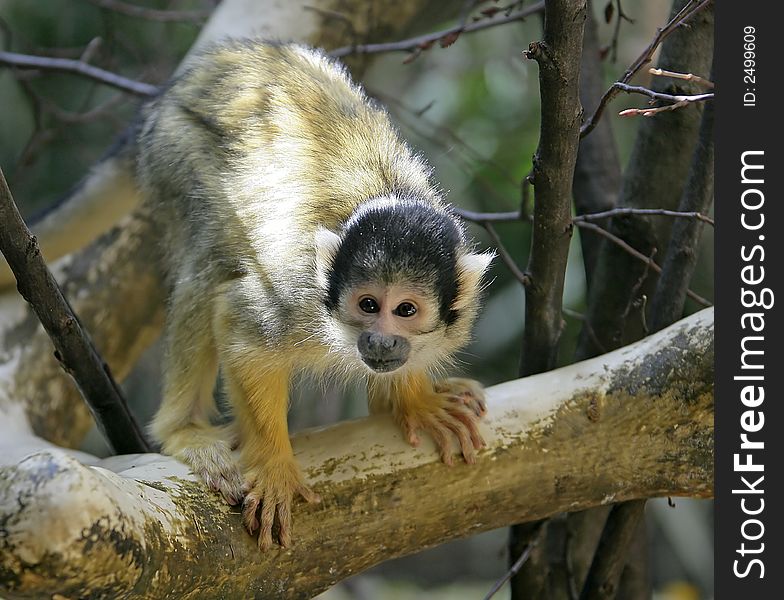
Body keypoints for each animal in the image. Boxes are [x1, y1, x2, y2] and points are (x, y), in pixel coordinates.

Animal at [79, 41, 496, 548]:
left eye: (406, 310)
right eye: (368, 305)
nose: (380, 341)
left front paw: (415, 402)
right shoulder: (295, 294)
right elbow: (241, 327)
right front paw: (275, 465)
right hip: (174, 148)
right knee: (208, 264)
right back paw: (182, 431)